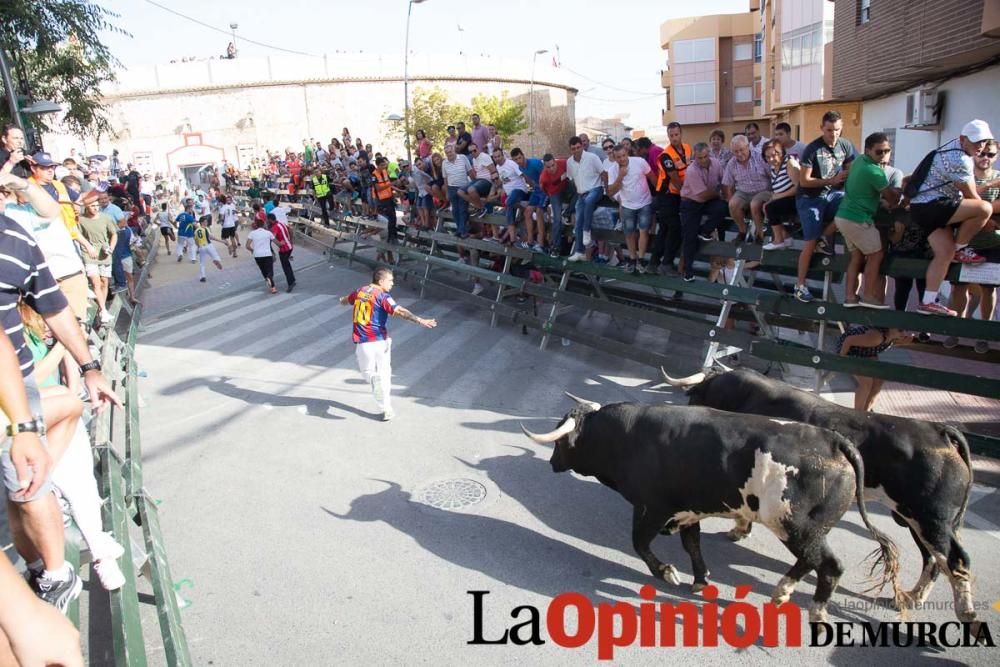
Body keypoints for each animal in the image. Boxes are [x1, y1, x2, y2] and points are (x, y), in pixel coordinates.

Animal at [524, 396, 908, 628]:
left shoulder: (651, 508)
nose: (553, 462)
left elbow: (640, 544)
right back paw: (782, 592)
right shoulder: (688, 512)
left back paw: (814, 609)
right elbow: (692, 544)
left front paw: (667, 573)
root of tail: (835, 441)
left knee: (828, 564)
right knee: (811, 560)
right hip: (805, 529)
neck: (627, 437)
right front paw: (700, 579)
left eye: (561, 441)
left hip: (796, 525)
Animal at [664, 366, 976, 628]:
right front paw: (740, 529)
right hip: (917, 520)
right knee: (933, 559)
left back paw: (963, 612)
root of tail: (941, 430)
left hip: (929, 519)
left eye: (694, 396)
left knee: (954, 559)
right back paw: (911, 597)